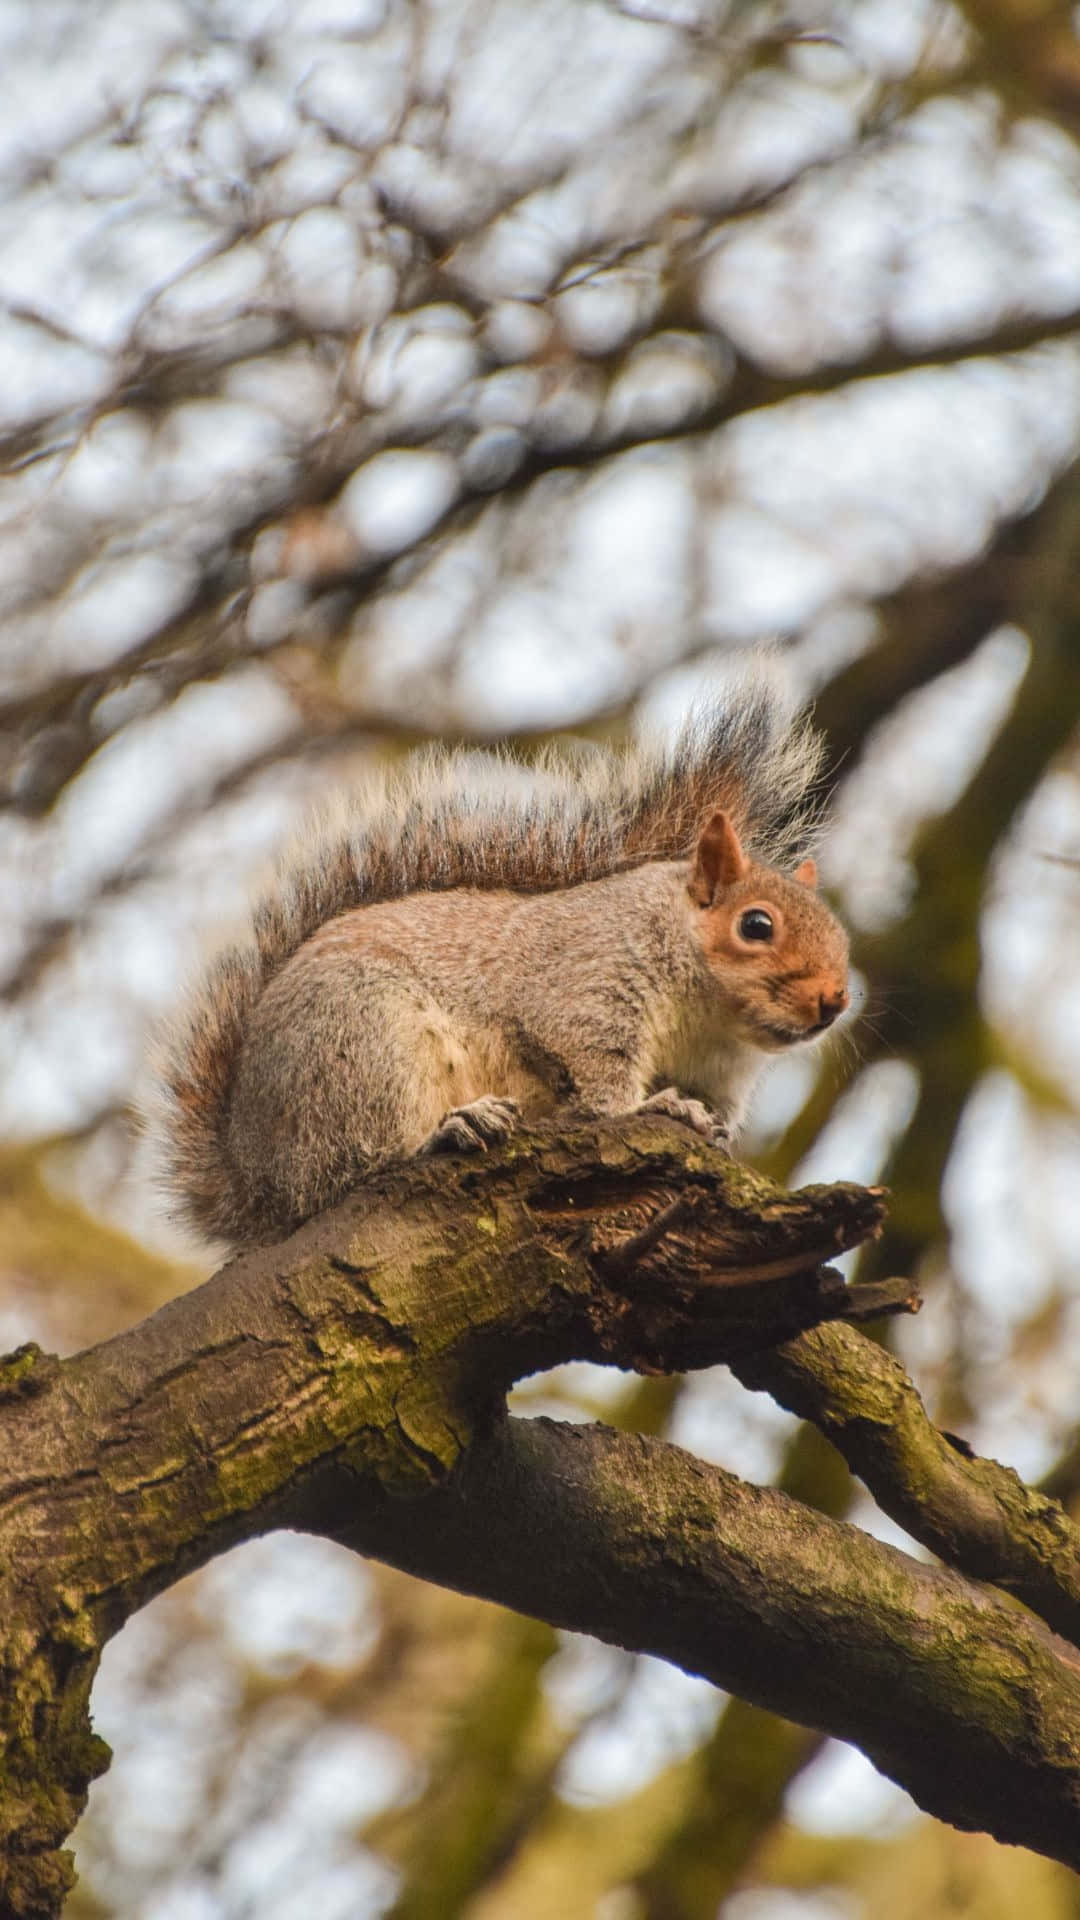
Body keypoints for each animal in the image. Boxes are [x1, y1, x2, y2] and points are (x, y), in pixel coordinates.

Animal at [152, 674, 849, 1250]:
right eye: (756, 925)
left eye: (842, 940)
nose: (834, 1000)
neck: (707, 1020)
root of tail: (255, 1177)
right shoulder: (587, 986)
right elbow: (598, 1078)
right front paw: (654, 1109)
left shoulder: (719, 1071)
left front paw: (713, 1132)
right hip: (363, 1047)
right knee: (348, 1167)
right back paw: (447, 1130)